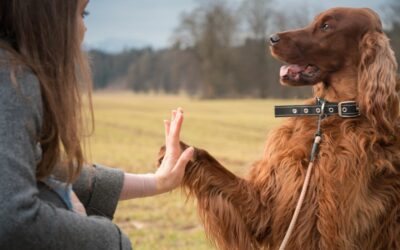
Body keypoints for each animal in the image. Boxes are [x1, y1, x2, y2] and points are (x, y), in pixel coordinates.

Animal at [159, 7, 400, 250]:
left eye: (326, 26)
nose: (271, 38)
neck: (329, 115)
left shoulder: (335, 228)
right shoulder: (266, 205)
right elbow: (215, 168)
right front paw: (176, 151)